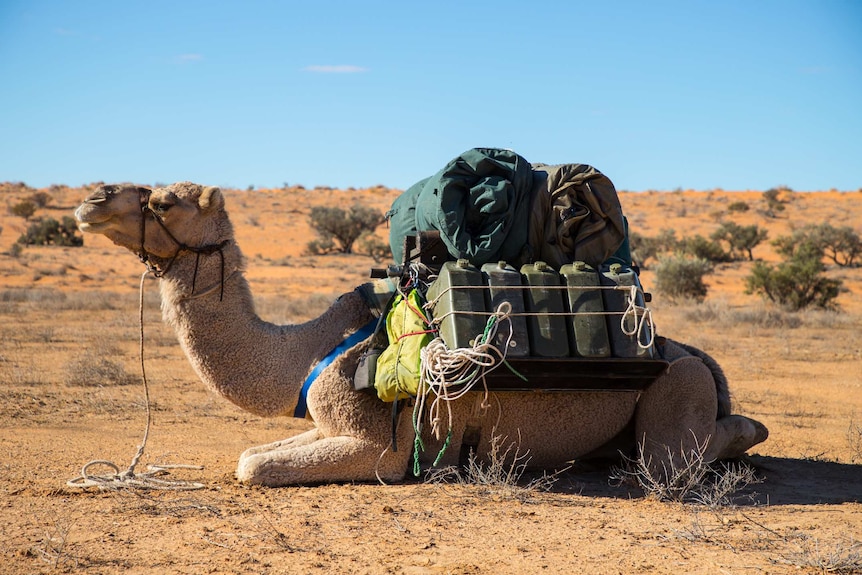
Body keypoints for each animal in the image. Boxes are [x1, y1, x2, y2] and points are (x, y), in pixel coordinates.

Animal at [76, 183, 768, 486]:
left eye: (164, 201)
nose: (91, 200)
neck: (303, 349)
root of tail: (699, 357)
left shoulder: (379, 448)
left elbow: (252, 465)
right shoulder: (326, 419)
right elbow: (254, 452)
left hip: (676, 389)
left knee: (678, 456)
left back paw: (745, 437)